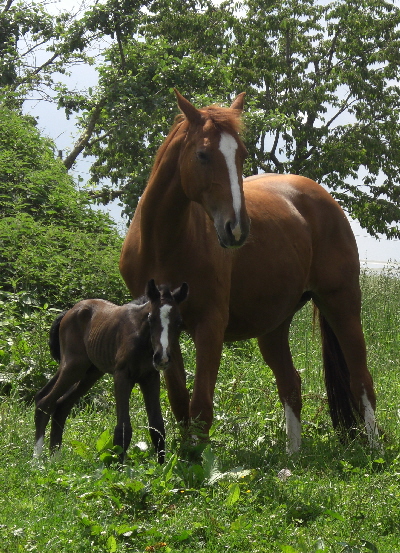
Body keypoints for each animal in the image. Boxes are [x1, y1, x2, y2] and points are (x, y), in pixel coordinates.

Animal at [34, 278, 189, 464]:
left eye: (179, 322)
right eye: (151, 319)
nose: (162, 357)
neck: (141, 340)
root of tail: (69, 312)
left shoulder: (150, 377)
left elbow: (157, 426)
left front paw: (161, 467)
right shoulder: (122, 375)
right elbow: (123, 428)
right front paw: (118, 467)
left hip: (90, 372)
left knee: (60, 404)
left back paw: (55, 459)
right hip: (73, 366)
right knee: (45, 402)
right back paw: (36, 459)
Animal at [119, 90, 378, 452]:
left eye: (241, 154)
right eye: (202, 154)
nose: (237, 229)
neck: (163, 244)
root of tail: (321, 198)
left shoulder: (210, 326)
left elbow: (201, 408)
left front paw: (197, 462)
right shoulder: (164, 328)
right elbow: (180, 404)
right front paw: (183, 459)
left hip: (341, 303)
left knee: (361, 380)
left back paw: (374, 450)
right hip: (273, 325)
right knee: (290, 384)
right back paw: (293, 456)